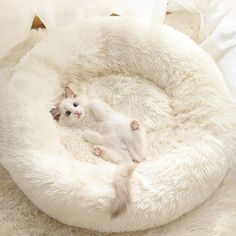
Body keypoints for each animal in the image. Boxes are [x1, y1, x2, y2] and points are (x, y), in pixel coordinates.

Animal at [50, 86, 148, 218]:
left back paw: (134, 126)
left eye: (75, 104)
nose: (77, 113)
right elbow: (88, 134)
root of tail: (133, 160)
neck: (85, 118)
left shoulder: (100, 106)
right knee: (117, 157)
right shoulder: (84, 131)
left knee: (138, 147)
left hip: (134, 144)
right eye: (68, 113)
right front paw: (95, 135)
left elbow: (94, 103)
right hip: (117, 152)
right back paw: (99, 150)